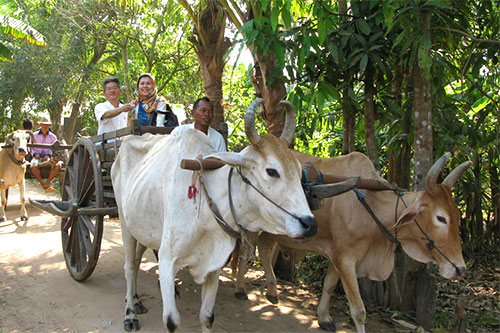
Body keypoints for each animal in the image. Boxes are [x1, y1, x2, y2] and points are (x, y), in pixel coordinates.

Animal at [112, 99, 318, 332]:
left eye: (299, 171)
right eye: (272, 171)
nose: (310, 224)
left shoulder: (214, 266)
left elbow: (207, 316)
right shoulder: (167, 260)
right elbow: (172, 321)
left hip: (143, 228)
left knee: (137, 260)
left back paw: (136, 301)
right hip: (124, 221)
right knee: (130, 267)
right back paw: (130, 313)